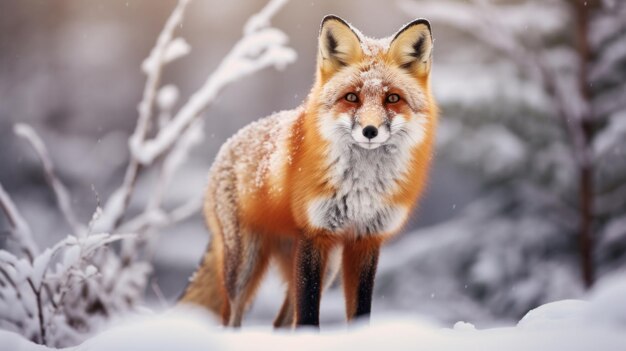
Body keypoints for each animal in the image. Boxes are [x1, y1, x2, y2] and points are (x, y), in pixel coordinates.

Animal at [178, 15, 436, 328]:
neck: (361, 187)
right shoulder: (314, 234)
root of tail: (228, 145)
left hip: (326, 266)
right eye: (352, 97)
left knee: (279, 323)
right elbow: (308, 316)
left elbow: (360, 313)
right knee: (233, 320)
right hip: (244, 265)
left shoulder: (366, 239)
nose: (370, 131)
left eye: (392, 98)